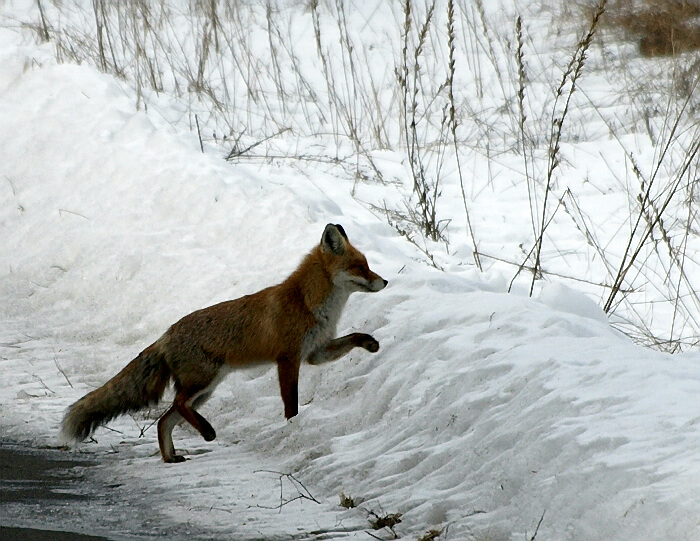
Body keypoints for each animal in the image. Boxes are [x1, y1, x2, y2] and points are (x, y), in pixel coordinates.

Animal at [60, 223, 388, 460]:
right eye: (360, 267)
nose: (384, 281)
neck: (309, 305)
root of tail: (167, 334)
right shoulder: (288, 358)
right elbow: (291, 403)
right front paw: (292, 428)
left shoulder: (315, 352)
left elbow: (352, 337)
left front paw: (370, 342)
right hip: (204, 382)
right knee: (177, 404)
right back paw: (207, 432)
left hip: (206, 390)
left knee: (165, 419)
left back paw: (171, 457)